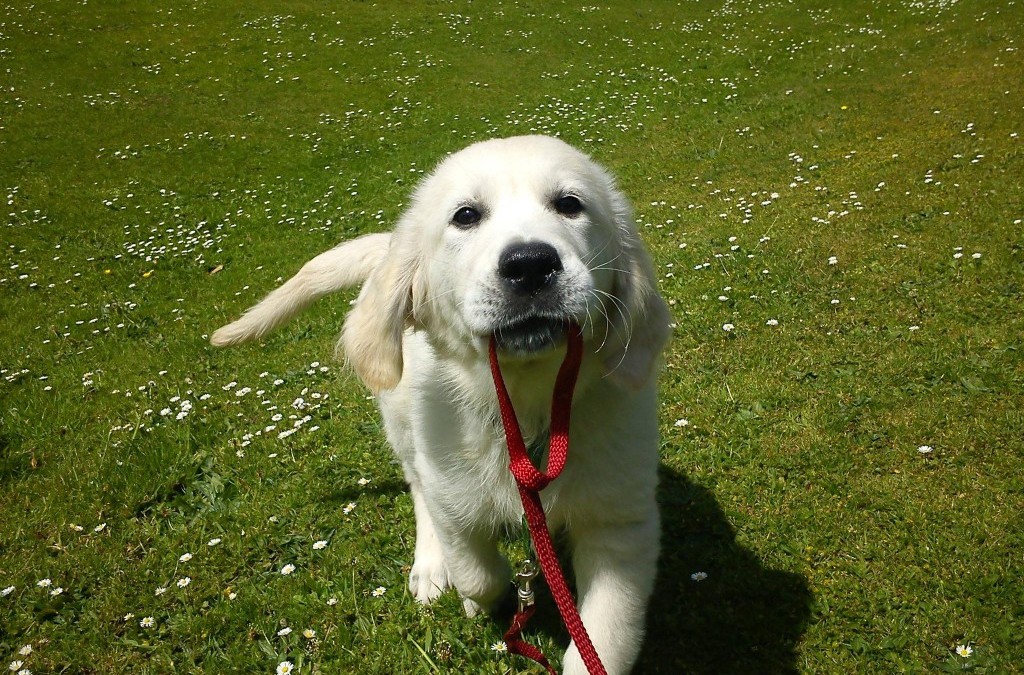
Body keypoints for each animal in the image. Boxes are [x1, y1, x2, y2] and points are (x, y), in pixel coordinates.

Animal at [211, 134, 667, 671]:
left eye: (570, 204)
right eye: (466, 215)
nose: (530, 264)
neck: (526, 410)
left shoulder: (620, 525)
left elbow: (605, 637)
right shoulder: (453, 496)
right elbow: (476, 568)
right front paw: (478, 598)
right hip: (407, 428)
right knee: (420, 491)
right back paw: (431, 568)